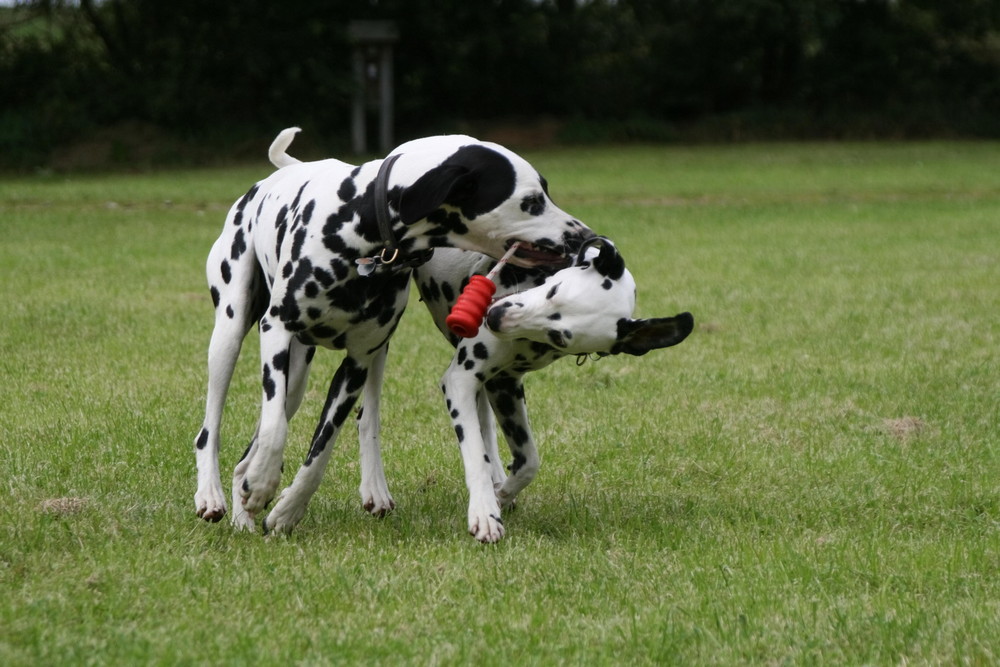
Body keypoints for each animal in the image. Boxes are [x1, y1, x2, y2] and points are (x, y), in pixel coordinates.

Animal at [192, 126, 592, 532]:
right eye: (531, 201)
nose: (584, 236)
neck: (360, 229)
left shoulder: (356, 363)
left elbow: (320, 451)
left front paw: (289, 508)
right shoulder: (277, 328)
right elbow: (275, 431)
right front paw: (261, 484)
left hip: (308, 375)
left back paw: (249, 510)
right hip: (231, 337)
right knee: (211, 429)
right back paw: (215, 495)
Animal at [354, 240, 696, 544]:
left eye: (559, 337)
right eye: (554, 291)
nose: (495, 317)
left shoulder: (505, 385)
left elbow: (528, 460)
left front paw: (501, 494)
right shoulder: (461, 379)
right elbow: (474, 453)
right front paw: (484, 514)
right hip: (380, 334)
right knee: (367, 414)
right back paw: (375, 487)